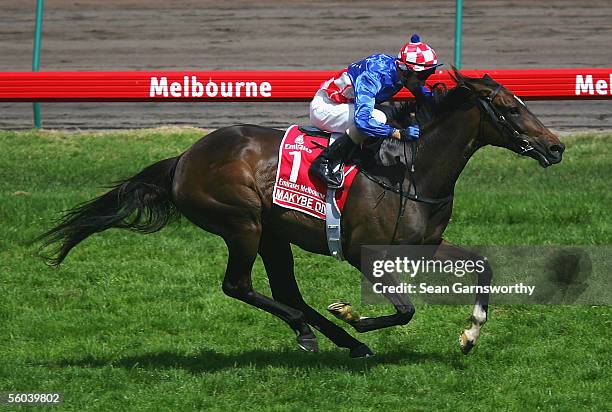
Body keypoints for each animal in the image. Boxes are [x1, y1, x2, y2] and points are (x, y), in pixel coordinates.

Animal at [38, 70, 564, 358]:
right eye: (510, 109)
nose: (556, 147)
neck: (411, 169)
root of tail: (183, 159)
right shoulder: (364, 252)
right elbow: (404, 310)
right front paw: (352, 314)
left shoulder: (425, 243)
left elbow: (482, 265)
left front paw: (469, 335)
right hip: (243, 224)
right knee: (240, 286)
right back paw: (321, 333)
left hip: (273, 234)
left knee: (285, 291)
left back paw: (336, 339)